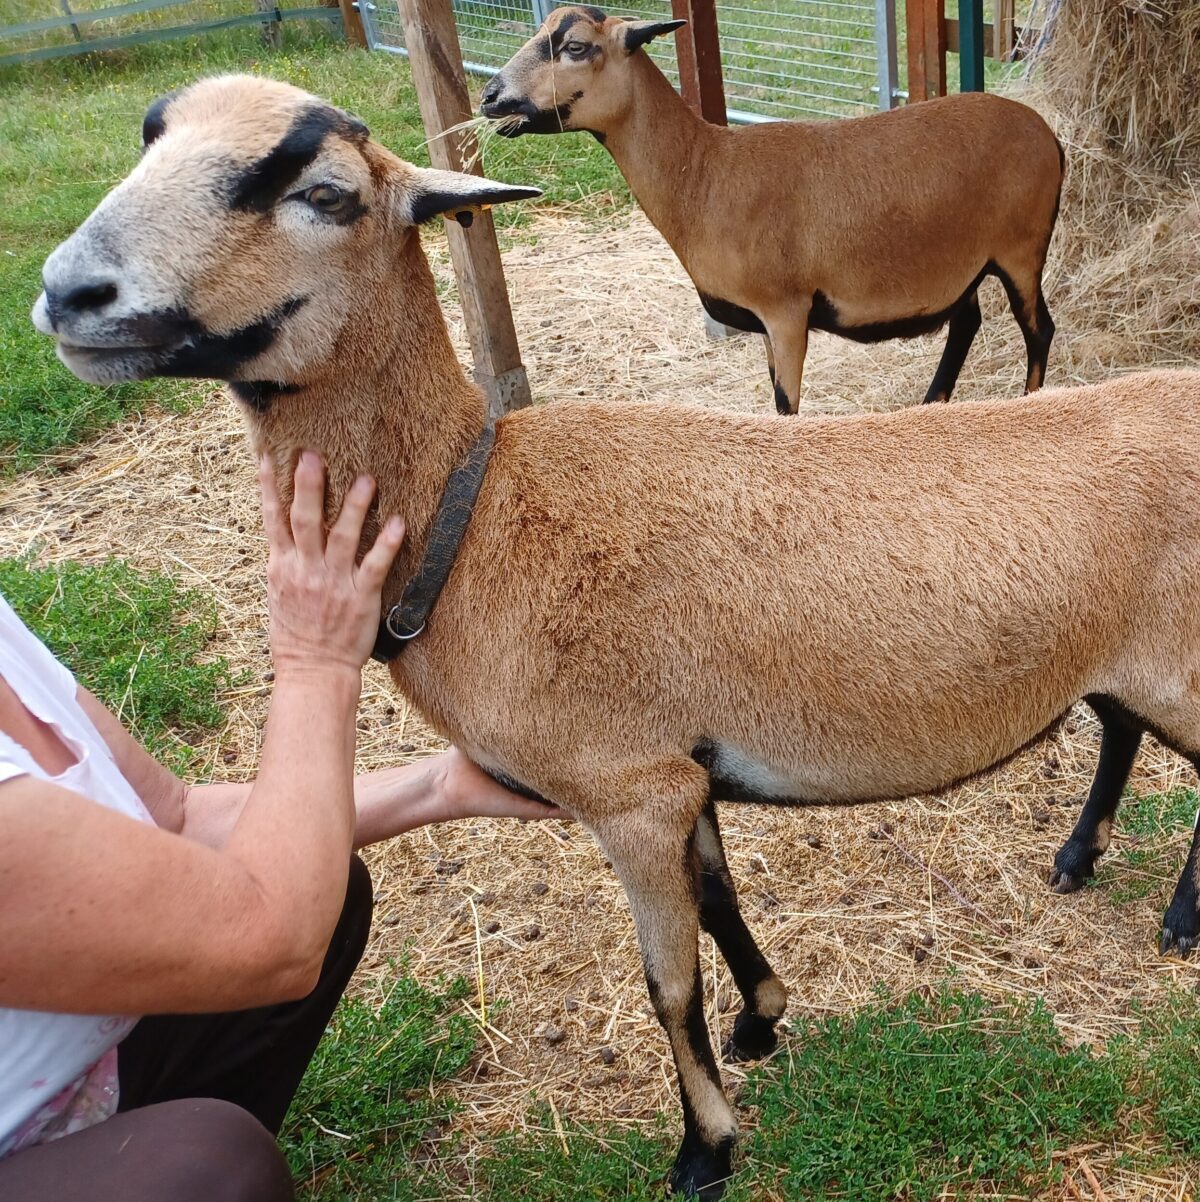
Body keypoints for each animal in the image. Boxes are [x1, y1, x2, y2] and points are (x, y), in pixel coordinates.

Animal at [32, 75, 1200, 1201]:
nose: (66, 291)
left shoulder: (629, 790)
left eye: (325, 194)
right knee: (1119, 729)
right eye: (149, 139)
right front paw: (763, 1016)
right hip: (1126, 653)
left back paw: (1178, 918)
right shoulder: (678, 763)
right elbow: (720, 902)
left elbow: (665, 985)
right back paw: (1078, 856)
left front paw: (705, 1149)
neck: (471, 508)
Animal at [479, 5, 1066, 415]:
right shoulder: (763, 322)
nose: (489, 97)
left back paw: (1029, 403)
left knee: (1039, 329)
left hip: (1021, 249)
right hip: (964, 262)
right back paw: (930, 404)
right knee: (967, 321)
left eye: (576, 47)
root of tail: (1048, 134)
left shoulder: (786, 311)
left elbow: (787, 408)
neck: (702, 173)